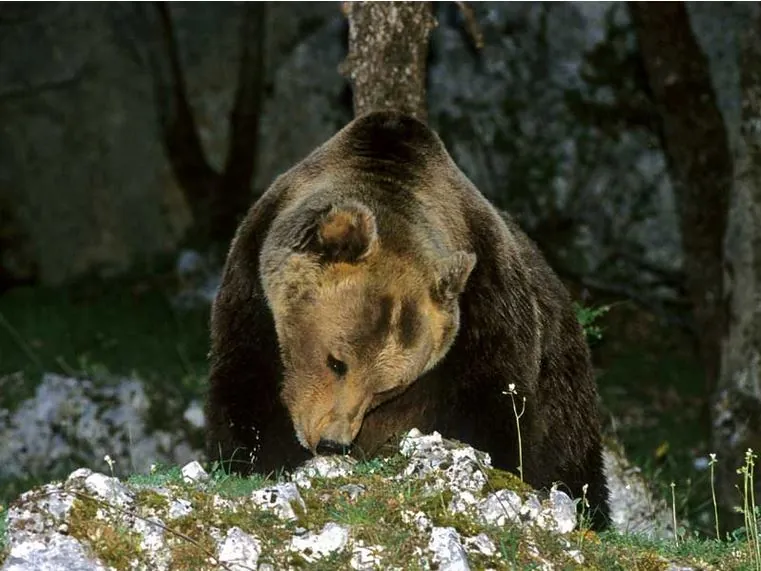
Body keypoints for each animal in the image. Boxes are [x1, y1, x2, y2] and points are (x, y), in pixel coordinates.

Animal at [204, 110, 610, 529]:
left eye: (385, 389)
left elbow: (497, 417)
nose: (332, 442)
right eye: (337, 362)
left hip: (563, 385)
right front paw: (259, 460)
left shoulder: (487, 317)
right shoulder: (253, 288)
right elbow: (247, 388)